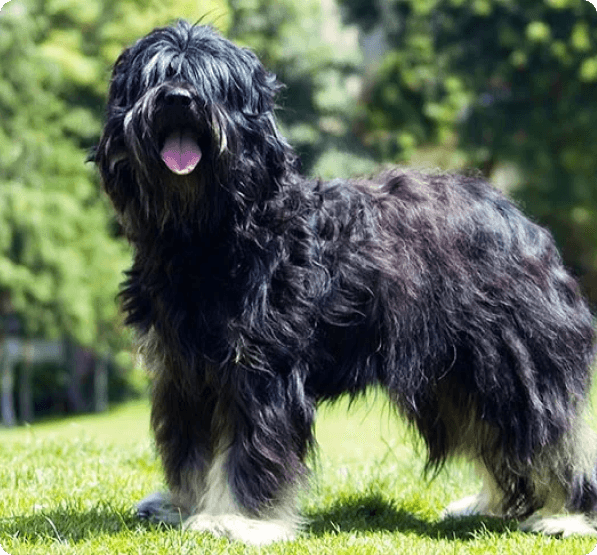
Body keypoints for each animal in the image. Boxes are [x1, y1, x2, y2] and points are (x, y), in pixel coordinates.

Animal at [94, 20, 596, 544]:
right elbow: (191, 452)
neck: (212, 233)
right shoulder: (183, 371)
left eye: (211, 81)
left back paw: (566, 513)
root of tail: (522, 221)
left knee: (548, 440)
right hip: (458, 376)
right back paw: (490, 504)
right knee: (496, 440)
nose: (178, 99)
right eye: (156, 76)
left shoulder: (260, 369)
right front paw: (183, 506)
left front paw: (238, 519)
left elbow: (248, 451)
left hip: (513, 364)